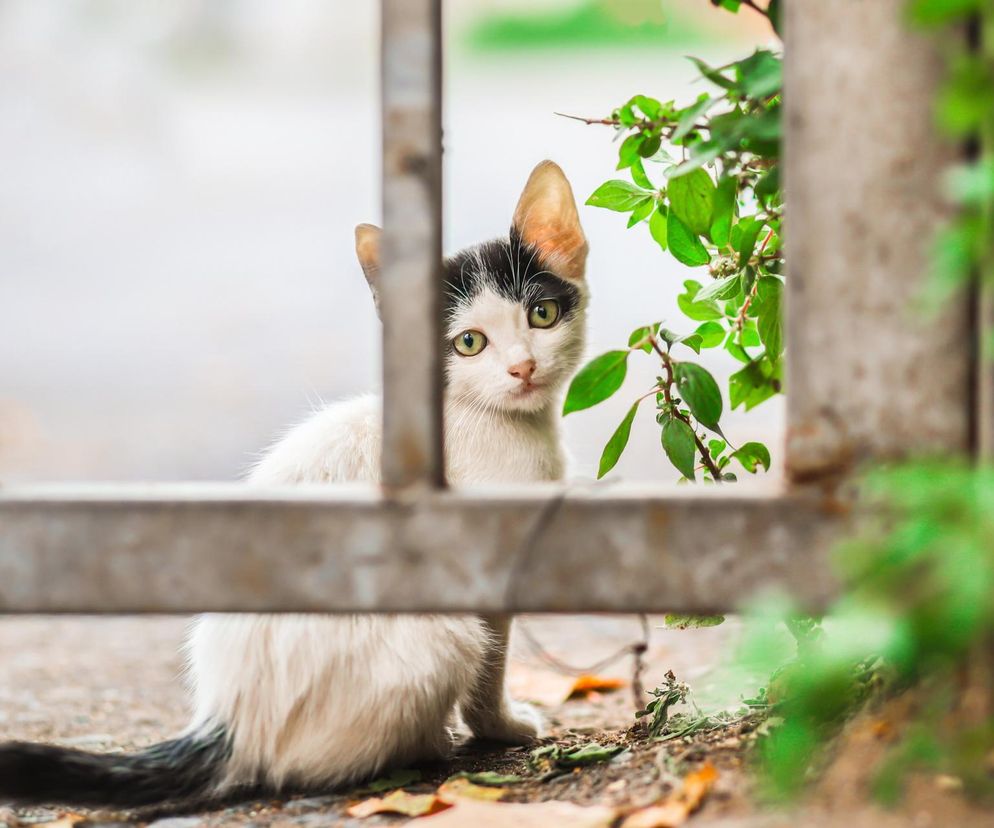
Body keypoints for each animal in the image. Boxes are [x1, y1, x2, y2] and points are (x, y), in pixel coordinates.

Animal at [0, 158, 588, 804]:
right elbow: (492, 665)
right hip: (444, 633)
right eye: (469, 343)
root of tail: (231, 724)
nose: (522, 368)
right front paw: (501, 727)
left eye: (541, 315)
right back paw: (425, 743)